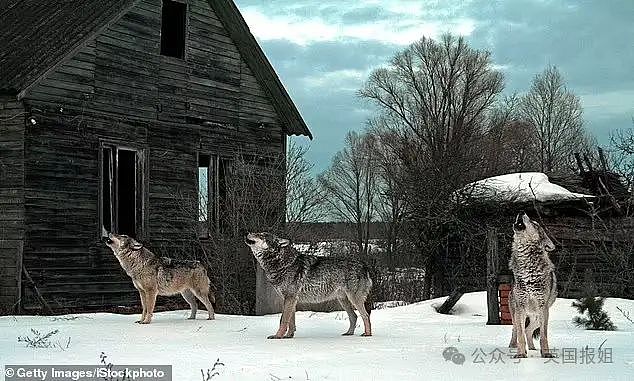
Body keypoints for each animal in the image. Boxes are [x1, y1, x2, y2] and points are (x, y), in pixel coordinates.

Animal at [242, 230, 370, 336]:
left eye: (261, 235)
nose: (246, 232)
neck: (282, 264)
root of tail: (364, 265)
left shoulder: (290, 298)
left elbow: (283, 320)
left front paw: (277, 336)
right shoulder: (291, 300)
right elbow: (291, 322)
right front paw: (288, 336)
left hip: (354, 299)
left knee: (366, 315)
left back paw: (367, 334)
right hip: (343, 300)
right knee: (354, 316)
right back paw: (349, 333)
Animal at [506, 211, 556, 356]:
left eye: (535, 223)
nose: (521, 211)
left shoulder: (543, 308)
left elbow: (544, 336)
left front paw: (546, 354)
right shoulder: (520, 307)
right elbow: (520, 335)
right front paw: (521, 354)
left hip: (538, 317)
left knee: (528, 330)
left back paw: (533, 348)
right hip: (517, 314)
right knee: (516, 330)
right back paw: (513, 347)